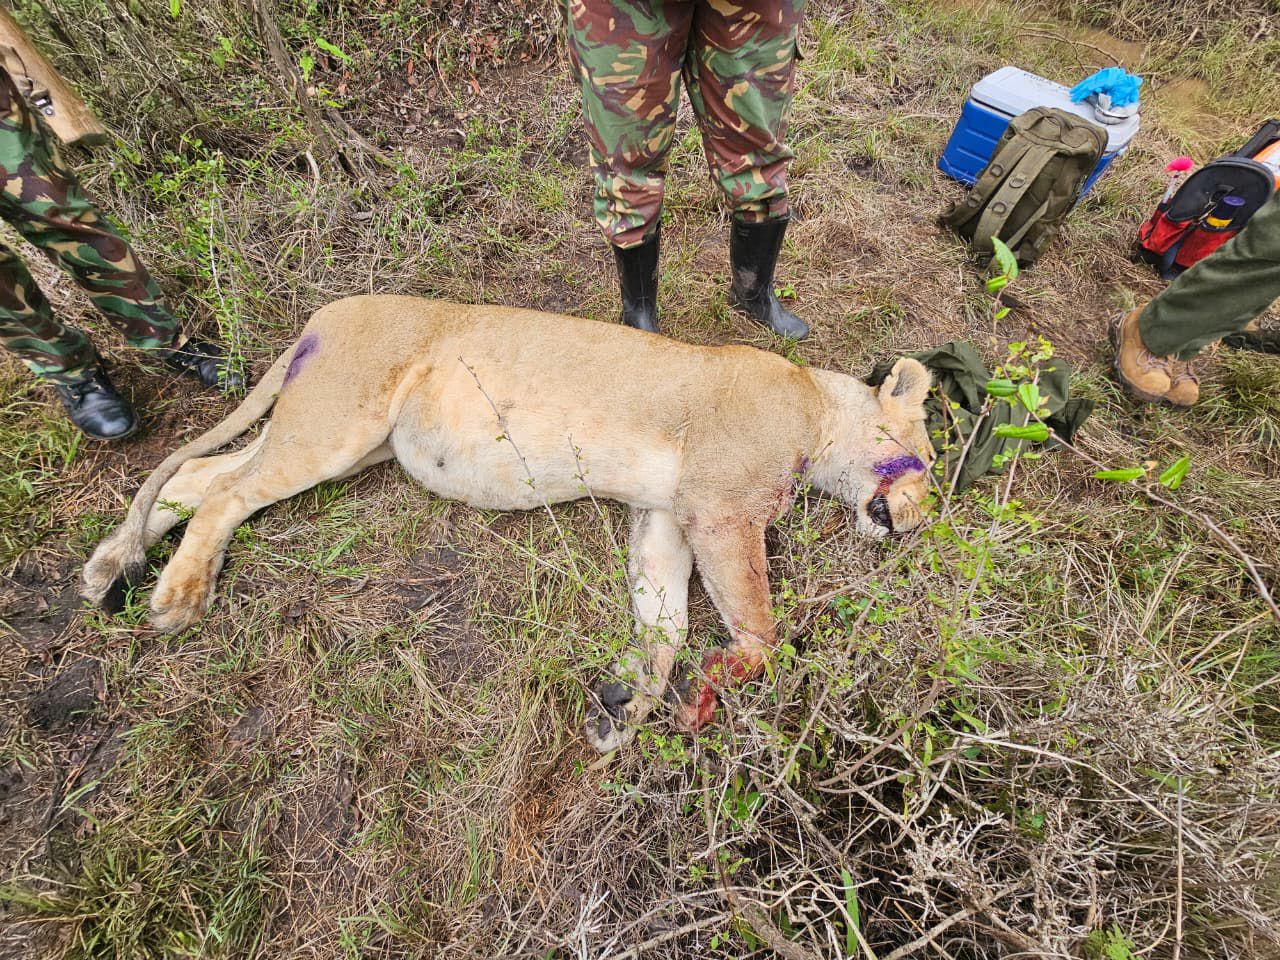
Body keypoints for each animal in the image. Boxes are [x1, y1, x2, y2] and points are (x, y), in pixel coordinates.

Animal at [82, 296, 935, 751]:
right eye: (928, 457)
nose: (919, 528)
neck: (816, 408)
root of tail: (326, 311)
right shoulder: (718, 505)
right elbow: (758, 624)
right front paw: (715, 682)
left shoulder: (664, 515)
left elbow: (665, 621)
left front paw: (625, 711)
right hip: (337, 426)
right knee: (225, 494)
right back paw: (177, 596)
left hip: (334, 437)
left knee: (197, 477)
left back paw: (106, 568)